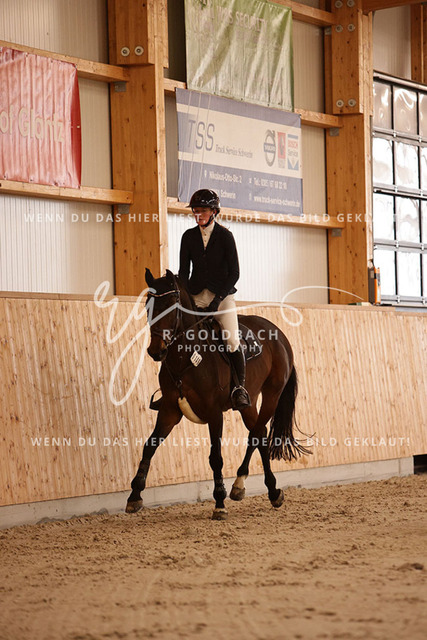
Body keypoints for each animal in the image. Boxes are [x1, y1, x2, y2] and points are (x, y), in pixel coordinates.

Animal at [126, 268, 310, 520]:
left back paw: (262, 490)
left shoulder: (214, 413)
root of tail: (280, 335)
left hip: (272, 394)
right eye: (148, 307)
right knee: (259, 433)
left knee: (257, 435)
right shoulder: (169, 409)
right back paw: (254, 489)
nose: (156, 351)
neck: (187, 357)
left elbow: (216, 457)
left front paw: (219, 502)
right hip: (250, 402)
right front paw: (134, 496)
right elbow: (149, 445)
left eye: (171, 306)